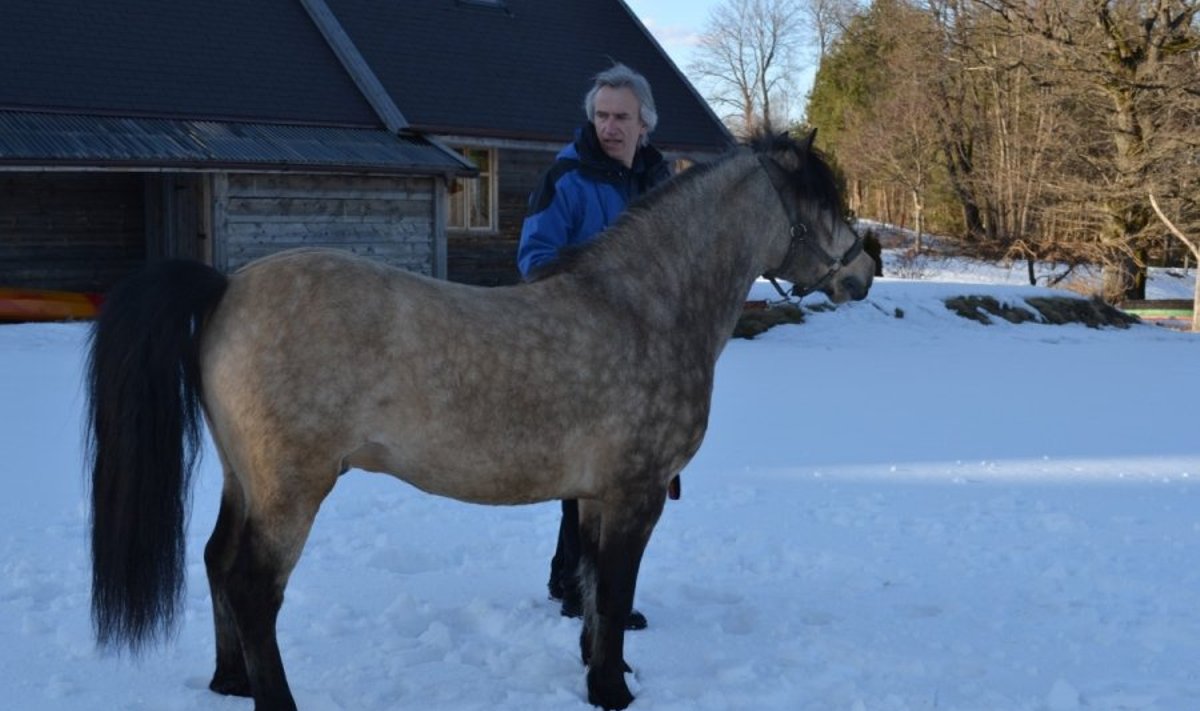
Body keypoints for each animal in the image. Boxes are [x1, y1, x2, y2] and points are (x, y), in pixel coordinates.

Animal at [84, 132, 873, 706]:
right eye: (823, 199)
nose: (864, 273)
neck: (644, 307)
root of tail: (226, 287)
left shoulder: (594, 494)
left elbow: (592, 589)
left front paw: (599, 674)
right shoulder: (636, 493)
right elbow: (615, 589)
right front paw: (613, 690)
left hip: (242, 479)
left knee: (217, 561)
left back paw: (230, 681)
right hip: (289, 492)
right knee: (253, 589)